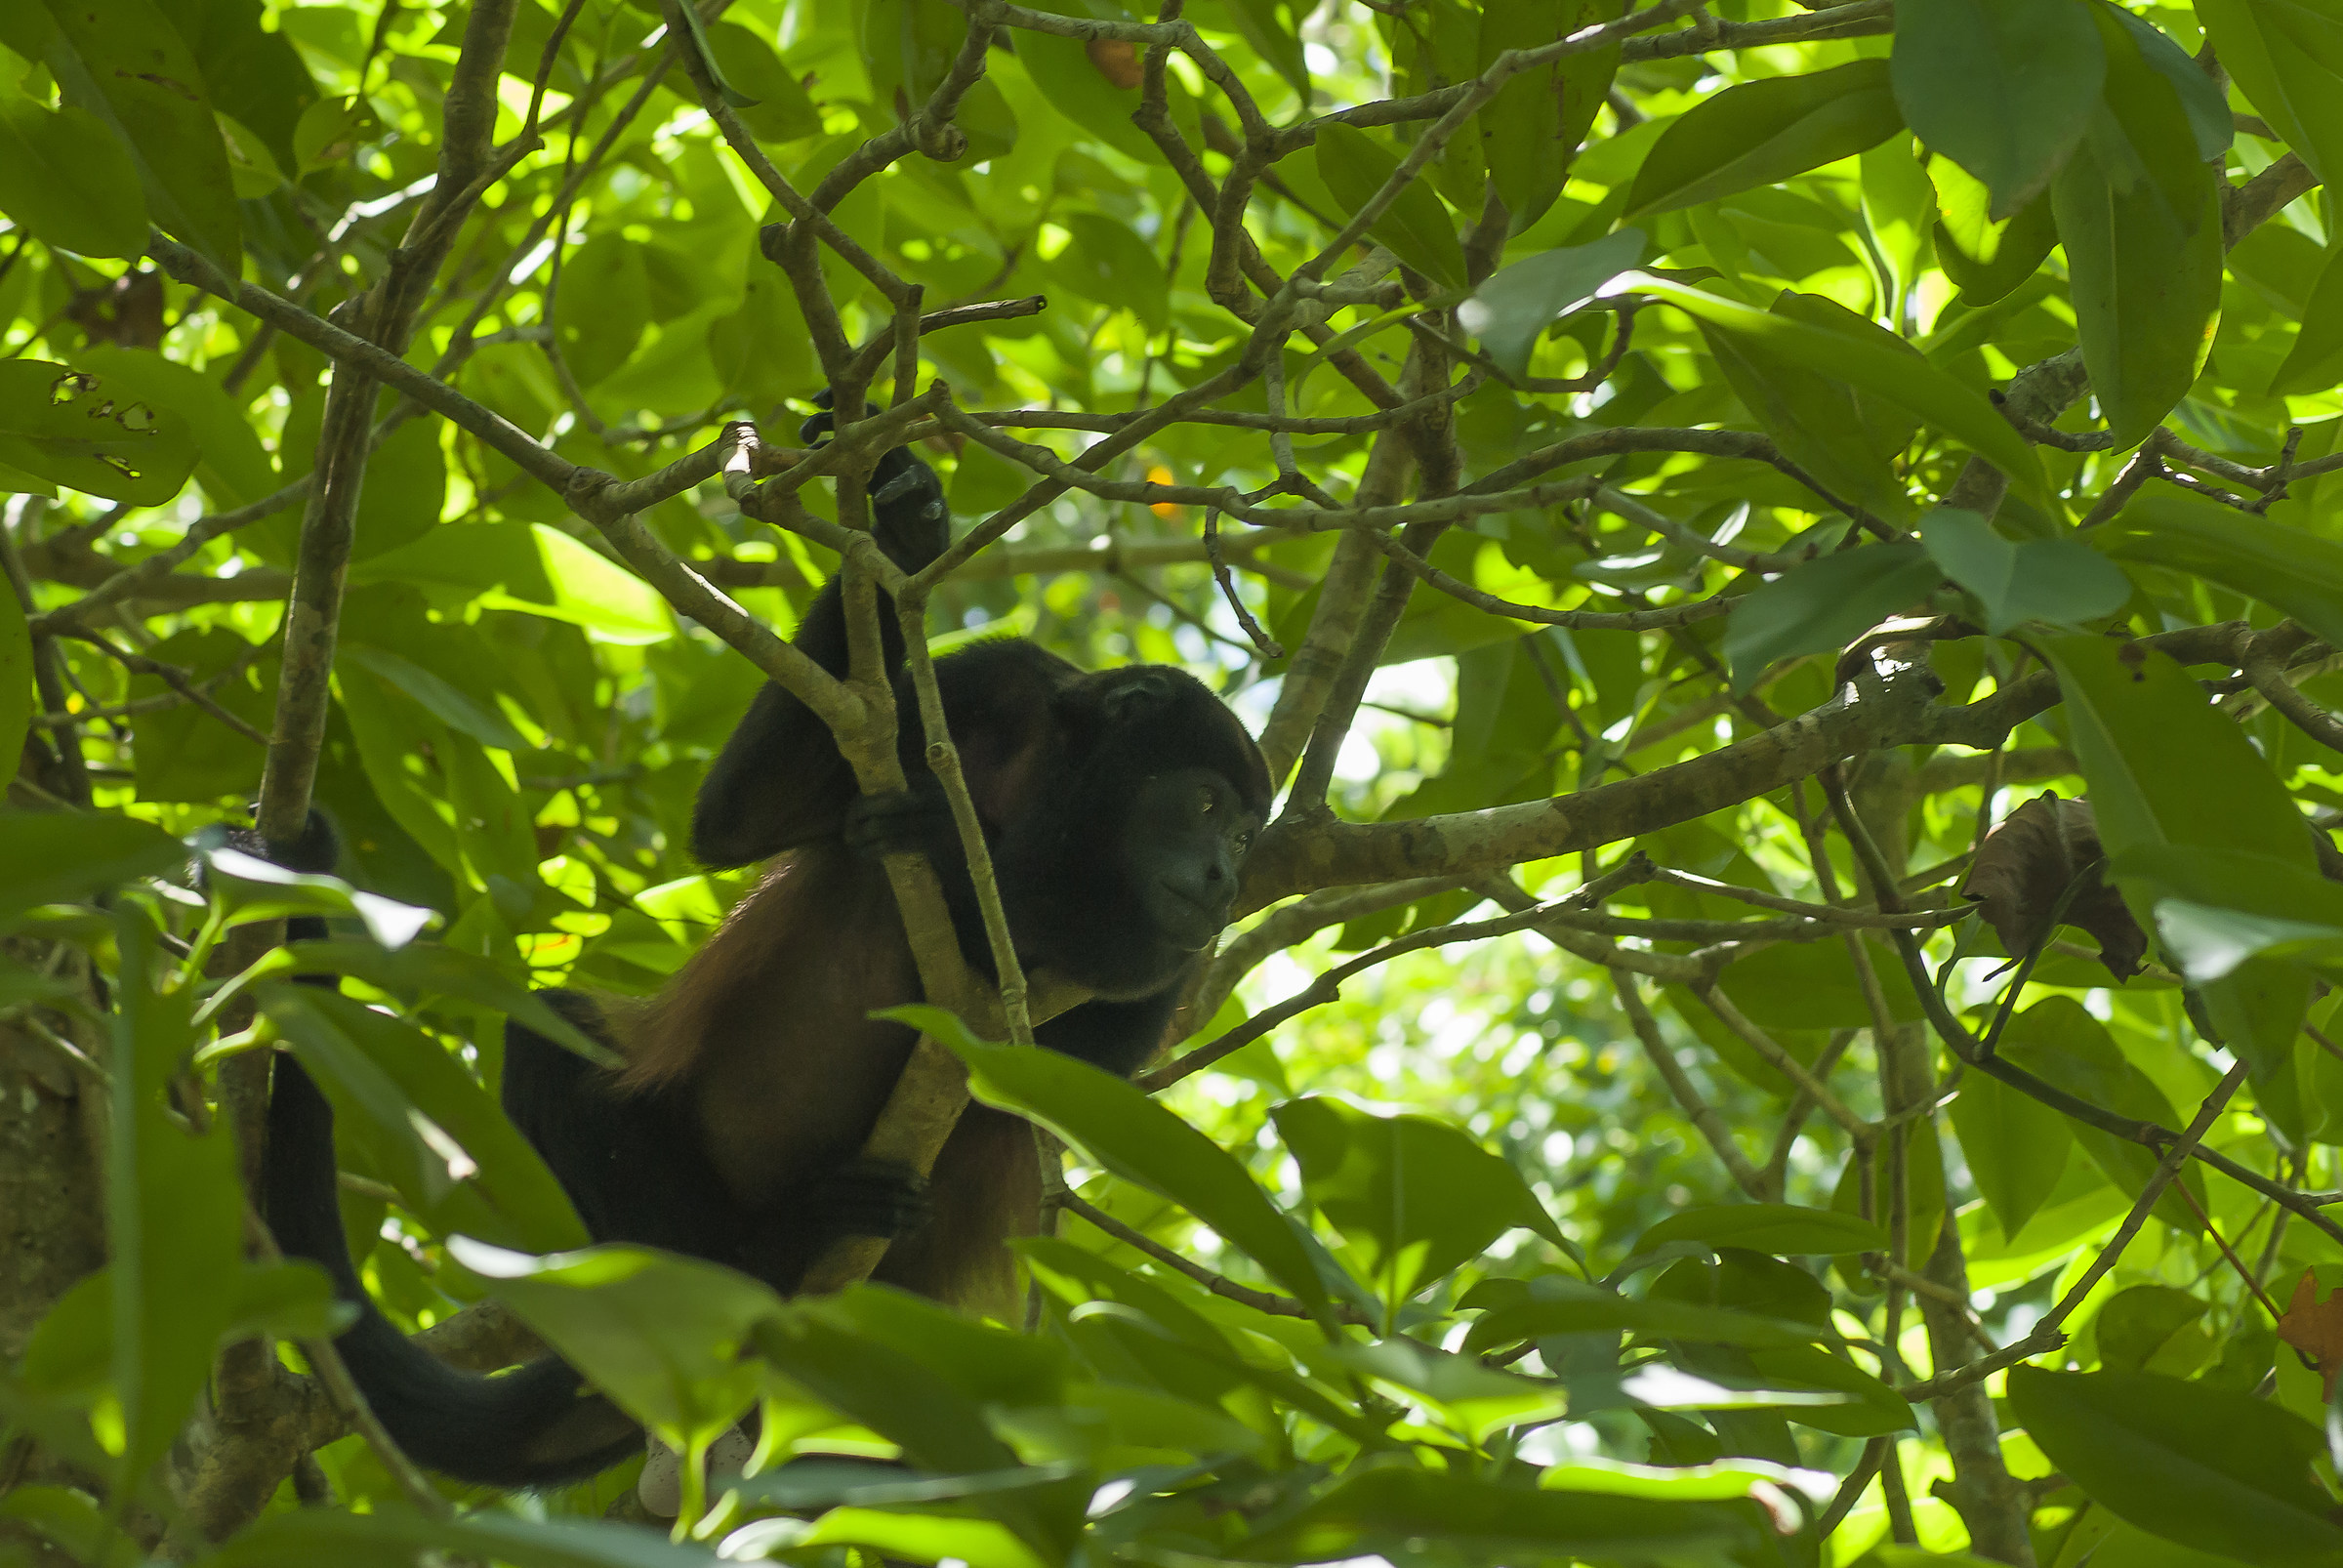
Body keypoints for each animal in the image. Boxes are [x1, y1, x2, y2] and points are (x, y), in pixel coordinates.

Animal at [262, 394, 1273, 1487]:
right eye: (1202, 804)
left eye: (1244, 834)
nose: (1224, 877)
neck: (1056, 791)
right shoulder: (996, 679)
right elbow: (739, 817)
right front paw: (905, 515)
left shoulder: (1165, 952)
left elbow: (1096, 1040)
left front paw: (952, 855)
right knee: (554, 1034)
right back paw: (761, 1251)